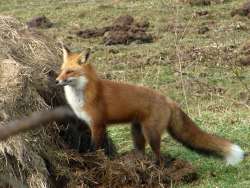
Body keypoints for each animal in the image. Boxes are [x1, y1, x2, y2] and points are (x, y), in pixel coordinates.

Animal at [56, 46, 244, 166]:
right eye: (61, 70)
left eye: (70, 72)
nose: (57, 80)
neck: (83, 94)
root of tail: (168, 99)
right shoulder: (92, 124)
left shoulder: (98, 124)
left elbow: (96, 147)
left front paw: (94, 160)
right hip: (137, 132)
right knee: (143, 152)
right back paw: (139, 164)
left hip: (151, 133)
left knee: (159, 156)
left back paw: (158, 168)